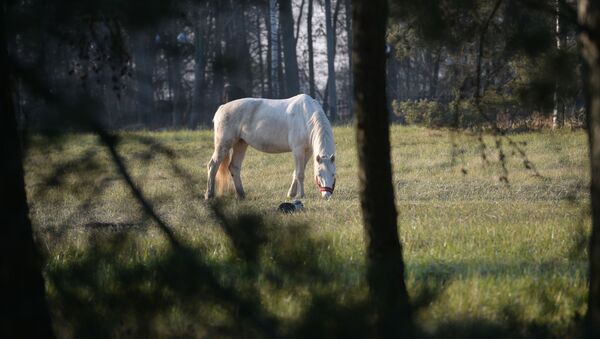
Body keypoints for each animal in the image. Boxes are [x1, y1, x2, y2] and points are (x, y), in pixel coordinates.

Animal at [205, 93, 338, 199]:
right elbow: (300, 174)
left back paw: (241, 194)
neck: (305, 117)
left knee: (234, 167)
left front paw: (291, 194)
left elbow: (296, 172)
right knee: (213, 166)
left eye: (333, 174)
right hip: (223, 144)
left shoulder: (308, 151)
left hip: (241, 143)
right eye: (319, 175)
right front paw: (301, 195)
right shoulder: (298, 150)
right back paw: (209, 195)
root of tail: (222, 108)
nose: (326, 196)